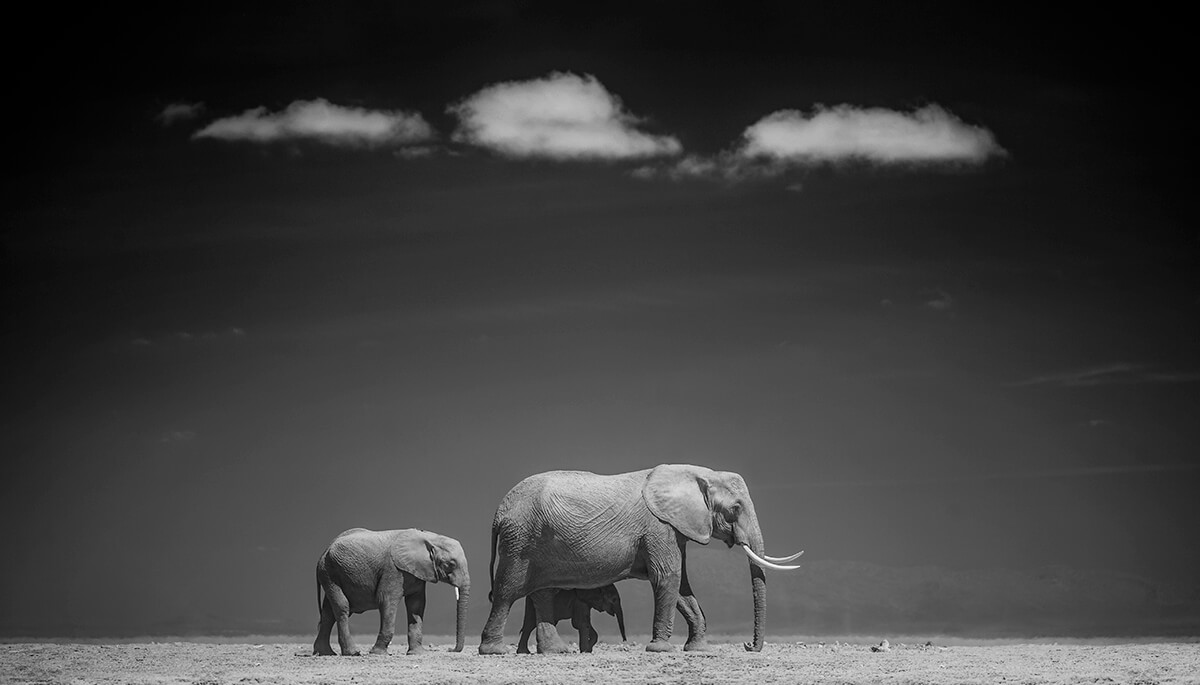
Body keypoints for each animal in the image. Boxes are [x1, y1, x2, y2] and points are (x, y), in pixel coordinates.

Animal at [314, 527, 468, 657]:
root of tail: (324, 551)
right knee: (342, 607)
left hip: (330, 573)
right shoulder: (393, 570)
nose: (450, 649)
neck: (429, 537)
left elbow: (416, 605)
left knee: (328, 613)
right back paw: (352, 653)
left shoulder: (418, 573)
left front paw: (417, 653)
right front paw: (377, 653)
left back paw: (325, 653)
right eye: (450, 564)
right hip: (330, 572)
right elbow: (387, 601)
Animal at [472, 465, 801, 652]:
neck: (696, 474)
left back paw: (557, 652)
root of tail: (498, 512)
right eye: (735, 509)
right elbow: (668, 578)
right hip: (521, 541)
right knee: (507, 592)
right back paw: (495, 651)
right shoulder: (659, 527)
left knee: (541, 594)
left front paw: (698, 651)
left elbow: (681, 587)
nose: (749, 646)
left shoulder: (674, 529)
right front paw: (661, 650)